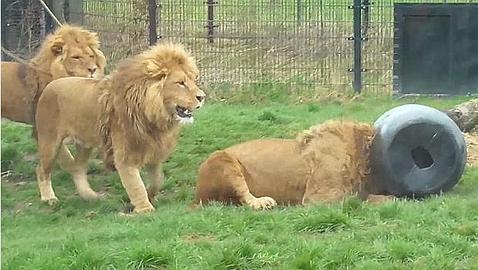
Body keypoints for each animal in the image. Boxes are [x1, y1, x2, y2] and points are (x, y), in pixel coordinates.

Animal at [33, 43, 205, 214]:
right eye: (180, 83)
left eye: (193, 80)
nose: (202, 97)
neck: (153, 114)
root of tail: (51, 85)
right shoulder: (126, 154)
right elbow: (135, 185)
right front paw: (145, 209)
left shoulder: (152, 148)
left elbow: (157, 180)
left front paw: (148, 196)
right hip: (50, 142)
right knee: (41, 170)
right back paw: (49, 198)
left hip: (85, 144)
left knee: (78, 168)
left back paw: (89, 196)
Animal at [193, 120, 392, 209]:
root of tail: (197, 193)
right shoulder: (317, 198)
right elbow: (359, 199)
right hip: (221, 159)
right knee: (244, 197)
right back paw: (264, 202)